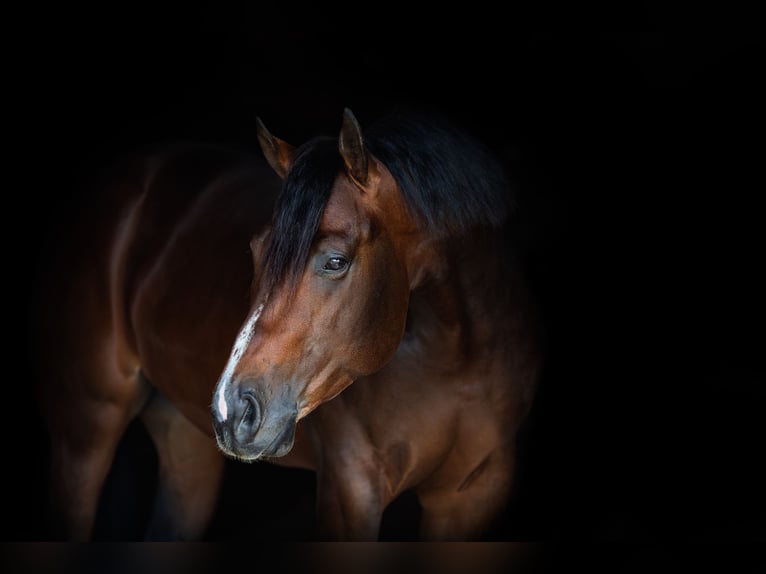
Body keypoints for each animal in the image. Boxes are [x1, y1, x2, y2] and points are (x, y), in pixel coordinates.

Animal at [33, 106, 544, 544]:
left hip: (184, 438)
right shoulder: (349, 489)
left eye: (335, 261)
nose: (232, 411)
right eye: (256, 252)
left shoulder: (472, 498)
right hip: (86, 429)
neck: (455, 361)